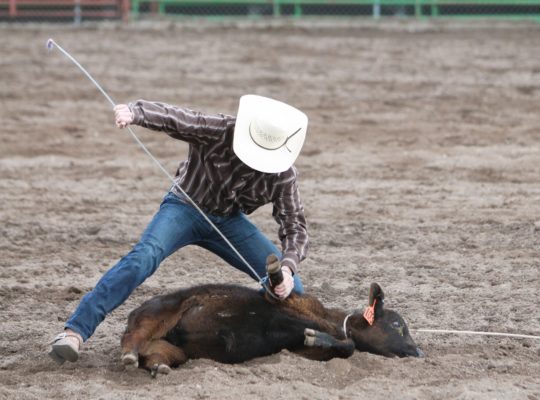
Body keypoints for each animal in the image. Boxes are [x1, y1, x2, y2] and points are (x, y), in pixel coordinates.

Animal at [121, 263, 423, 377]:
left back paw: (158, 366)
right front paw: (316, 335)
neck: (332, 320)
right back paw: (130, 354)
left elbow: (344, 346)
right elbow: (347, 344)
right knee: (133, 337)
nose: (419, 351)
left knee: (154, 356)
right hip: (159, 311)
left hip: (172, 350)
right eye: (397, 324)